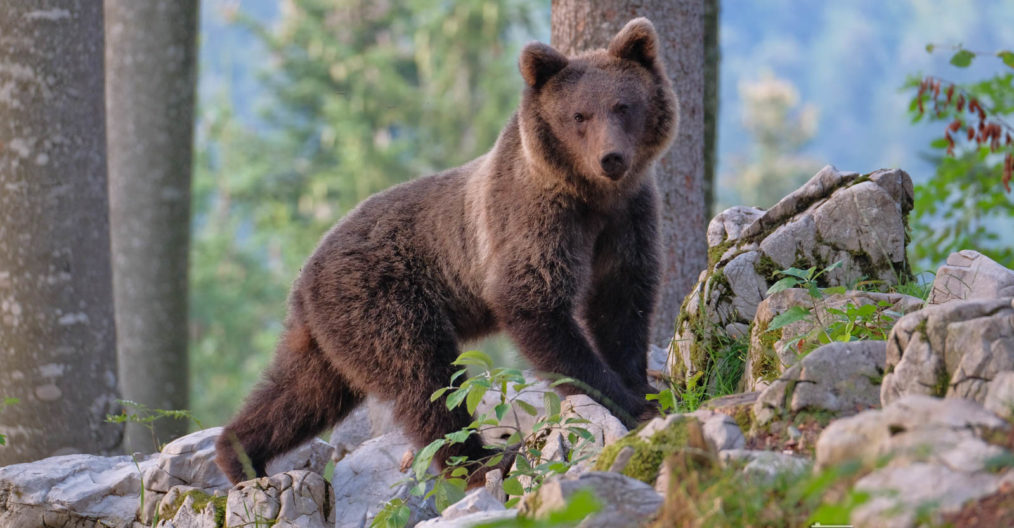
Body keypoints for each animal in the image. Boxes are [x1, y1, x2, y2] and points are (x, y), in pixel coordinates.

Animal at [215, 16, 673, 484]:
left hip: (331, 334)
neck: (591, 197)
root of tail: (305, 276)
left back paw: (240, 455)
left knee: (305, 392)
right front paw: (630, 404)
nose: (610, 158)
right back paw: (482, 460)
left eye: (623, 106)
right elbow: (535, 304)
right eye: (578, 115)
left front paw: (643, 386)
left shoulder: (627, 216)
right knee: (424, 377)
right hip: (383, 300)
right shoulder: (535, 219)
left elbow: (622, 299)